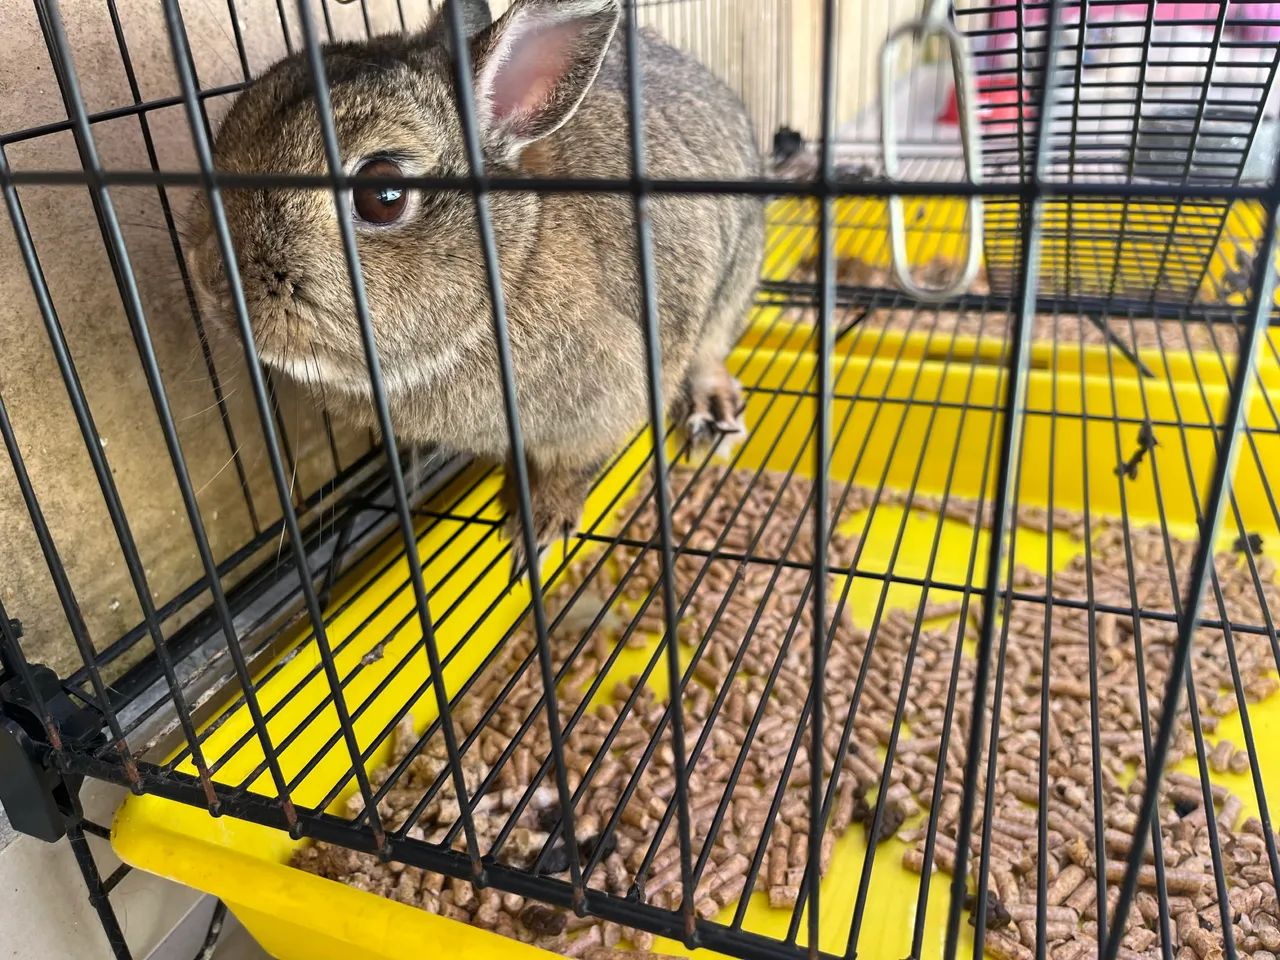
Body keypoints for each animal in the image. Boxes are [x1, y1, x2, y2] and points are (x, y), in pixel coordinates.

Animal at [185, 0, 765, 572]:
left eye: (382, 195)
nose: (212, 281)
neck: (514, 262)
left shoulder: (612, 397)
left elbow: (572, 467)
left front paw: (538, 529)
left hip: (734, 282)